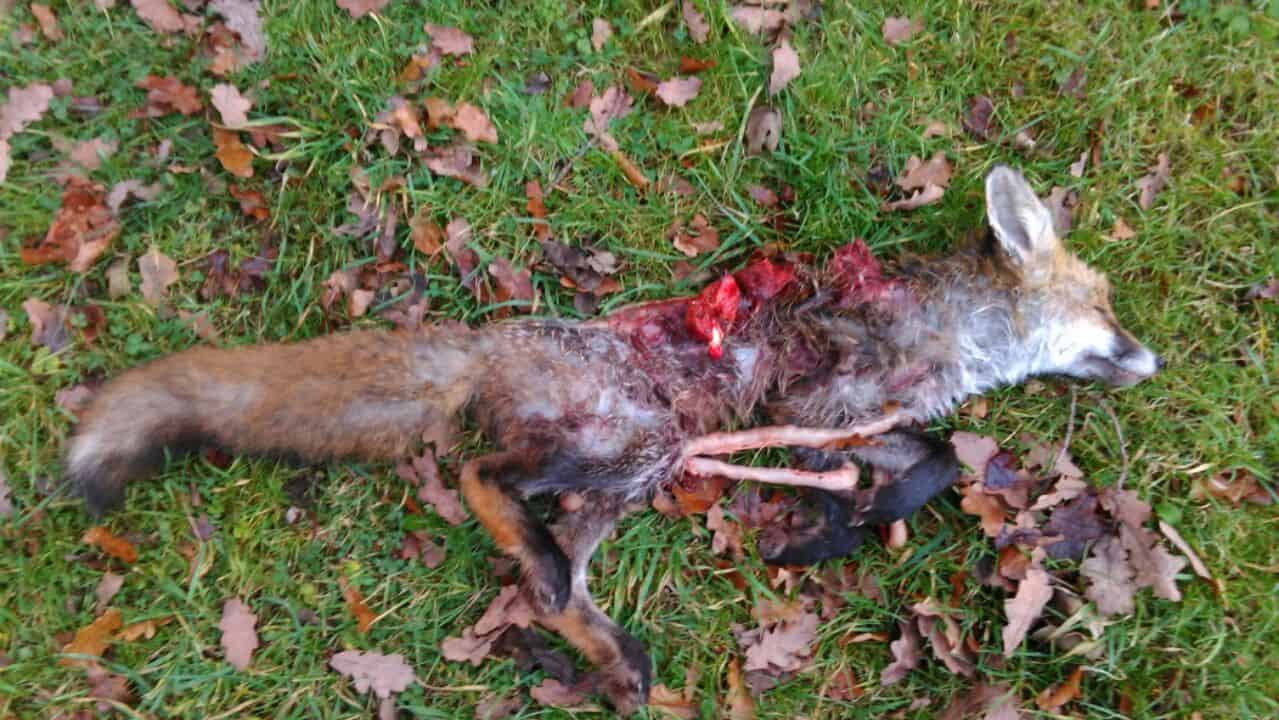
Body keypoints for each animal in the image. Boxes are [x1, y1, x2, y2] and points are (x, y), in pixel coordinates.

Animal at [64, 166, 1160, 713]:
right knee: (484, 478)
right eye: (1107, 306)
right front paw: (834, 526)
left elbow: (920, 466)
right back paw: (554, 577)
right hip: (632, 445)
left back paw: (608, 649)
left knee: (556, 583)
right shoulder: (825, 393)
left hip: (635, 472)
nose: (1148, 360)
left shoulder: (856, 423)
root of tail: (495, 341)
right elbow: (903, 462)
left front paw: (831, 529)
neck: (950, 338)